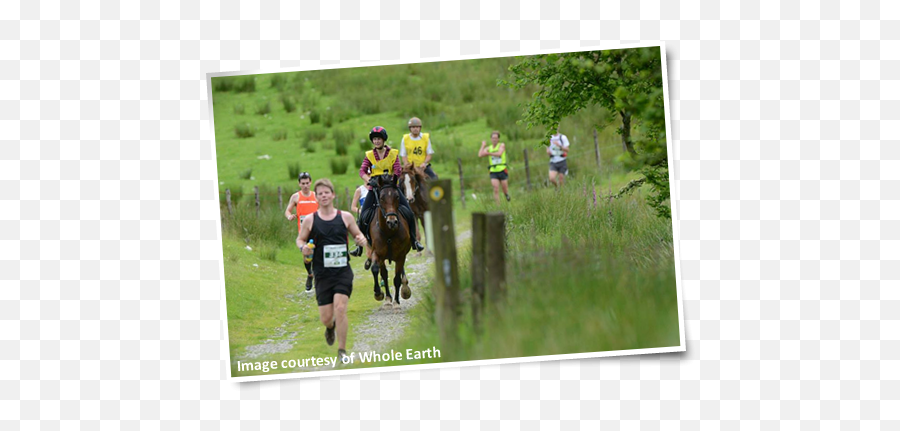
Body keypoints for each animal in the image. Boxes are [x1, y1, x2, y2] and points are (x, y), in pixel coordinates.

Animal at [370, 174, 412, 308]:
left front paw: (397, 302)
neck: (389, 233)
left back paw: (405, 289)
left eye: (397, 196)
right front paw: (379, 293)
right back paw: (388, 298)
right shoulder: (377, 253)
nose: (392, 222)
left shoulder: (400, 256)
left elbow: (397, 278)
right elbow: (376, 270)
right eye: (381, 198)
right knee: (384, 273)